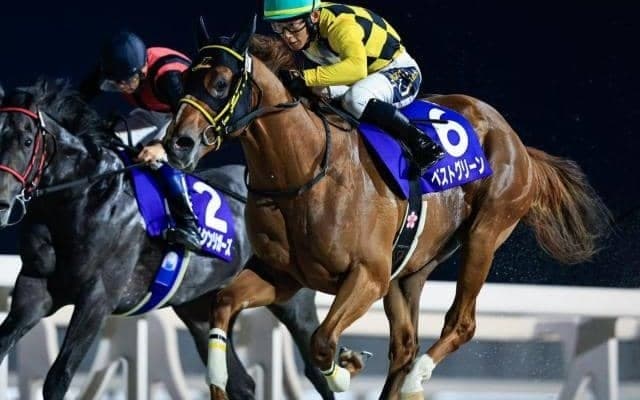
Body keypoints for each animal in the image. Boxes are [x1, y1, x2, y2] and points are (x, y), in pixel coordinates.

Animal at [0, 78, 334, 400]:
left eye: (27, 141)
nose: (2, 202)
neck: (83, 196)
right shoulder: (34, 289)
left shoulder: (98, 298)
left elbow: (58, 379)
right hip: (201, 308)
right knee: (241, 384)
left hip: (292, 302)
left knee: (317, 370)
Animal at [164, 19, 613, 400]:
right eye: (184, 79)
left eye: (221, 83)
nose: (178, 143)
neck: (304, 172)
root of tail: (515, 140)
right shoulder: (284, 276)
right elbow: (223, 305)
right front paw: (219, 383)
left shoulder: (368, 276)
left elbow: (322, 342)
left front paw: (347, 367)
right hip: (411, 268)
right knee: (404, 344)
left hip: (484, 234)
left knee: (460, 324)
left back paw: (418, 376)